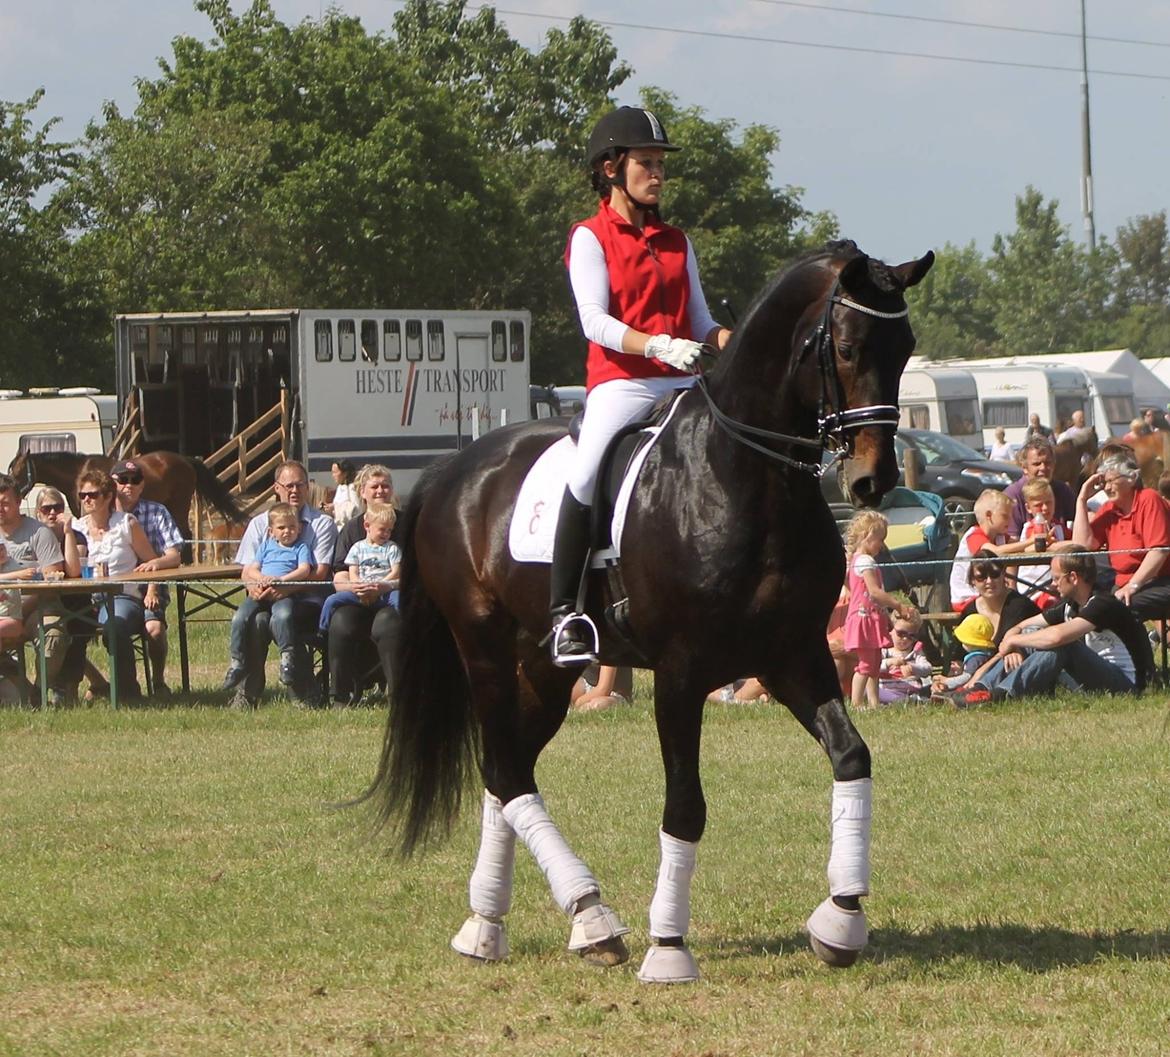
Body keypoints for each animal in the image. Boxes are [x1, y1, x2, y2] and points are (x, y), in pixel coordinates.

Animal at [362, 242, 931, 983]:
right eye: (845, 345)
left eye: (906, 347)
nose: (873, 480)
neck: (745, 477)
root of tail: (451, 471)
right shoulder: (682, 672)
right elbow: (685, 804)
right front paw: (669, 947)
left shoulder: (793, 655)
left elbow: (852, 756)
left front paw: (842, 918)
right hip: (482, 647)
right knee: (508, 770)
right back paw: (591, 916)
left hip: (545, 668)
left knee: (504, 768)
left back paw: (494, 925)